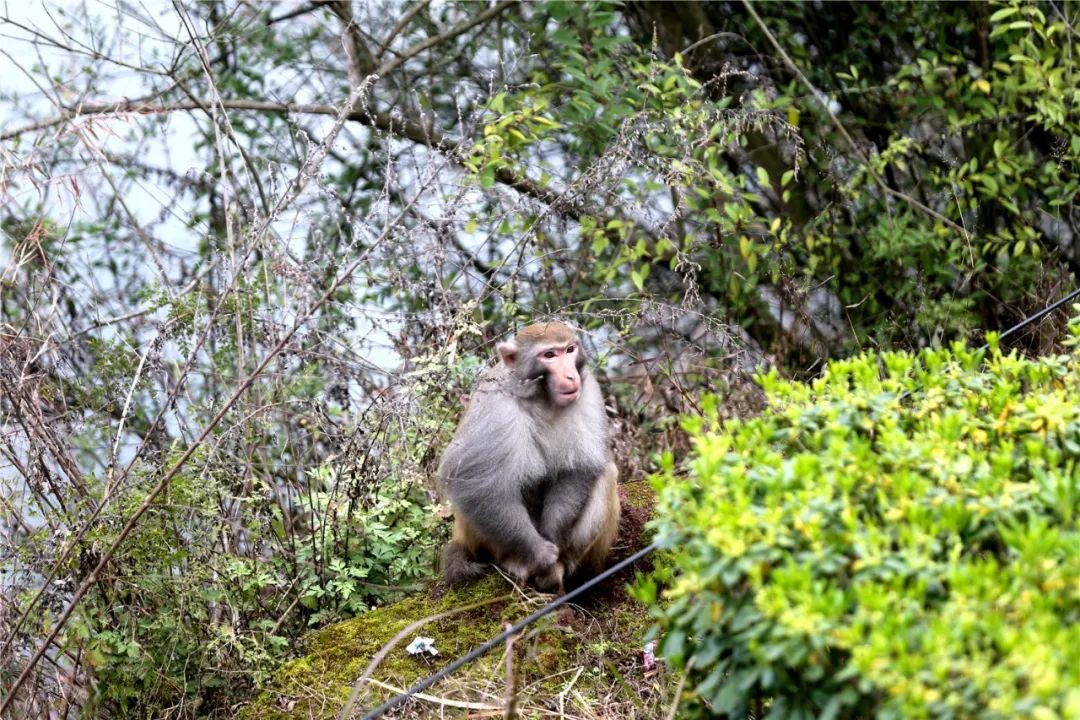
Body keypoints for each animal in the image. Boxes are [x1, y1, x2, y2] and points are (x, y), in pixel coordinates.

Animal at [438, 323, 622, 595]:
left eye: (569, 350)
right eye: (549, 355)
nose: (570, 376)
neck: (542, 398)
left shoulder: (588, 391)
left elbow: (580, 467)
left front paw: (552, 540)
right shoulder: (495, 406)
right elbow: (470, 480)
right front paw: (541, 554)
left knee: (607, 474)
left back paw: (560, 569)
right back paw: (520, 563)